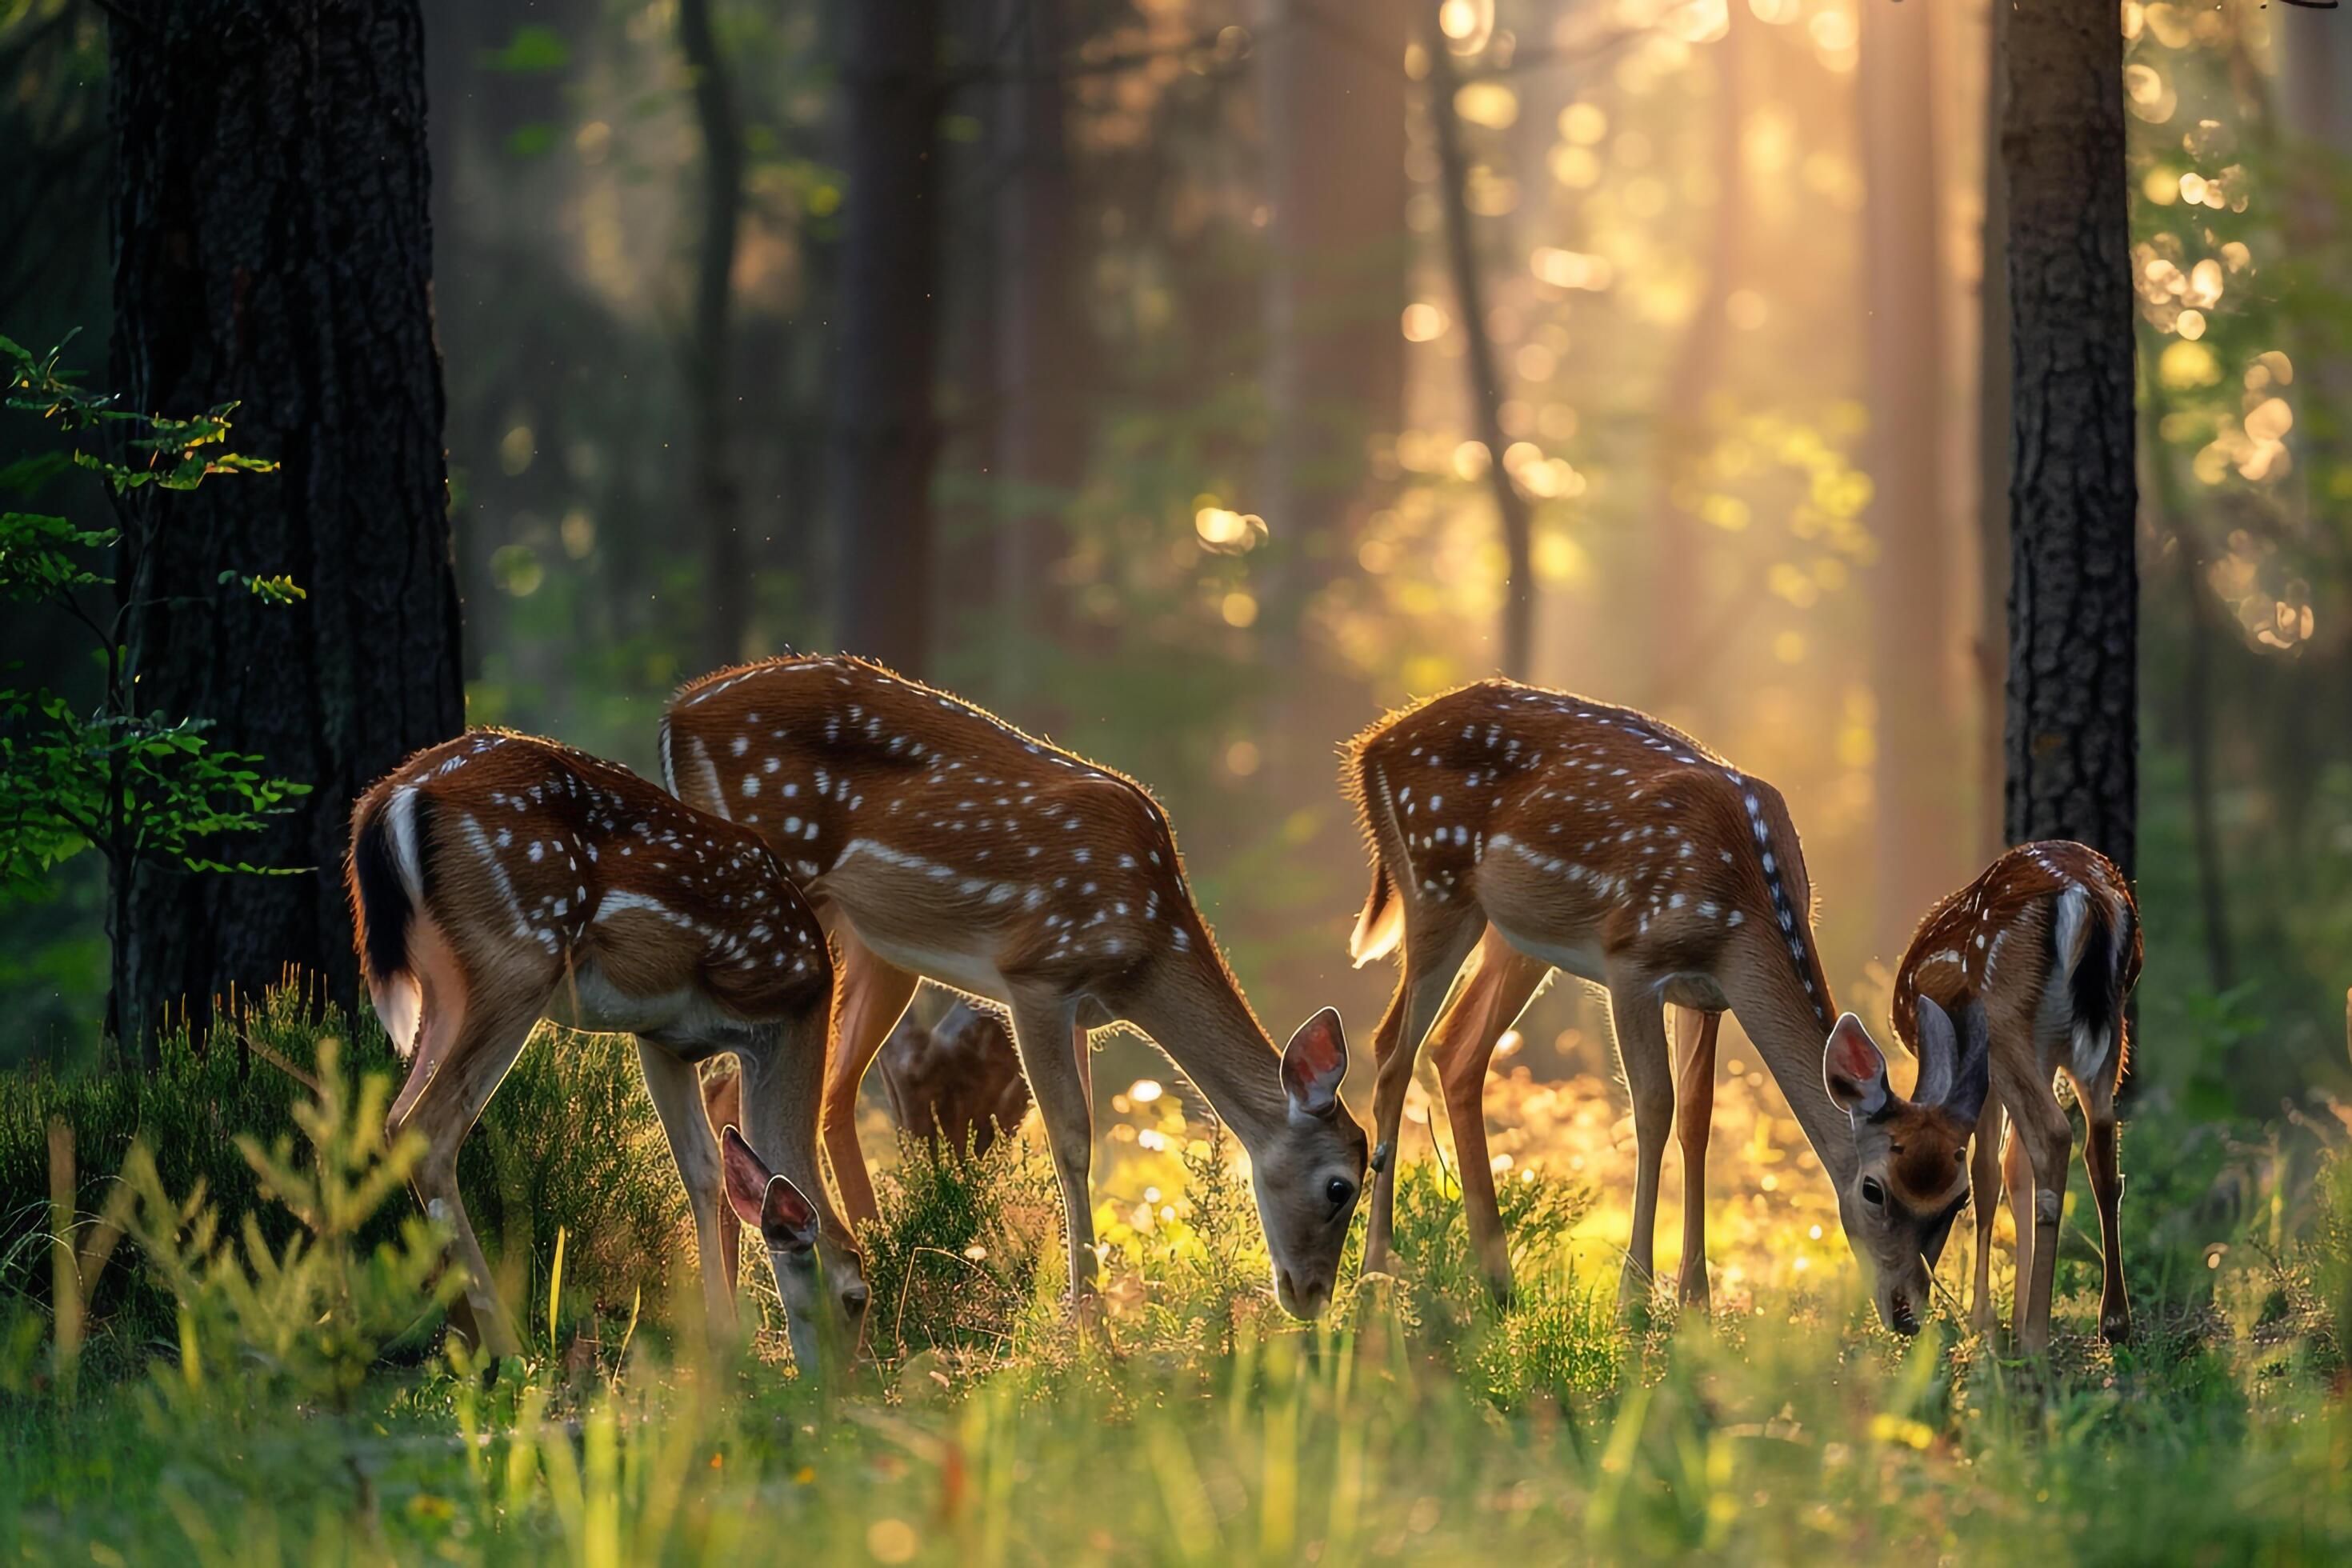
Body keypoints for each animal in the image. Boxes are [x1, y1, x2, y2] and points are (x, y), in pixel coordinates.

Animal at [343, 728, 870, 1373]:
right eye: (856, 1298)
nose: (843, 1386)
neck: (795, 1011)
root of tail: (389, 799)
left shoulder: (662, 1036)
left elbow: (704, 1171)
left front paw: (722, 1342)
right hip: (520, 952)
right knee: (429, 1127)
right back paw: (507, 1345)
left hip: (440, 981)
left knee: (395, 1118)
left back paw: (459, 1337)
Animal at [658, 653, 1364, 1326]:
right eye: (1341, 1187)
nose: (1311, 1297)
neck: (1146, 947)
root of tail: (675, 716)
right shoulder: (1039, 973)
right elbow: (1072, 1141)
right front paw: (1090, 1326)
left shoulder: (1081, 1012)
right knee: (732, 1088)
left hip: (876, 944)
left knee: (827, 1091)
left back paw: (876, 1266)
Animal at [1345, 677, 1985, 1335]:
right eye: (1874, 1189)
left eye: (1958, 1198)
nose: (1908, 1314)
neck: (1740, 911)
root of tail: (1371, 745)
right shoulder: (1631, 961)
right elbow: (1653, 1105)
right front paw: (1633, 1299)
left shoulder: (1709, 995)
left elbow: (1698, 1119)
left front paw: (1695, 1298)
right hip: (1434, 881)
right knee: (1391, 1049)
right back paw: (1376, 1272)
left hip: (1517, 935)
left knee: (1455, 1049)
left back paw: (1499, 1283)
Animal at [1843, 846, 2145, 1354]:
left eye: (1880, 1189)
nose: (1904, 1311)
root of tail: (2088, 899)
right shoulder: (2040, 1058)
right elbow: (2014, 1168)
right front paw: (2012, 1315)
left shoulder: (1979, 1073)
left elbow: (1986, 1173)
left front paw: (1983, 1318)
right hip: (2107, 1029)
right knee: (2101, 1148)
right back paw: (2113, 1322)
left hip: (2001, 1020)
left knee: (2053, 1136)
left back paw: (2038, 1336)